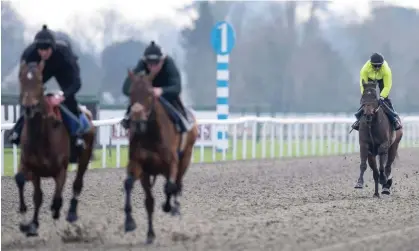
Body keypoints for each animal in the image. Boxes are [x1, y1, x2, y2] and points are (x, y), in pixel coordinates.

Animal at [15, 59, 96, 236]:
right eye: (21, 80)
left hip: (85, 156)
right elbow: (37, 196)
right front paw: (31, 224)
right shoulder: (33, 168)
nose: (29, 108)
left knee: (77, 184)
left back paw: (71, 213)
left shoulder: (60, 170)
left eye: (40, 81)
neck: (41, 136)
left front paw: (56, 210)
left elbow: (57, 197)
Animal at [122, 69, 199, 244]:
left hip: (185, 158)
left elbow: (170, 187)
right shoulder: (139, 166)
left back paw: (174, 207)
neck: (151, 134)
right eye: (131, 92)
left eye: (150, 93)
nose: (137, 122)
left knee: (177, 184)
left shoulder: (172, 163)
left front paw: (168, 206)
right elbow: (136, 191)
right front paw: (134, 225)